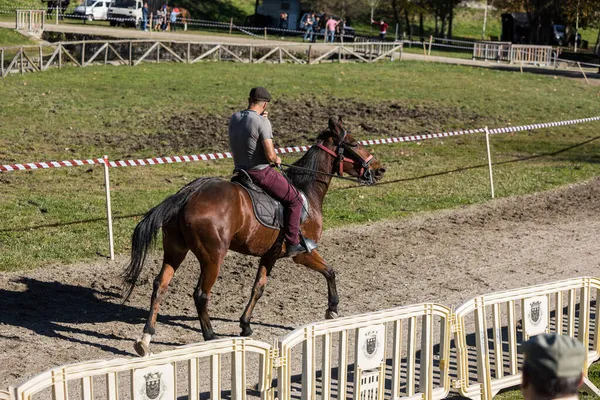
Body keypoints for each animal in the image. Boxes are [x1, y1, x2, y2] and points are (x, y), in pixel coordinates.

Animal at [124, 116, 386, 356]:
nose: (379, 169)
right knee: (200, 294)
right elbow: (330, 271)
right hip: (212, 258)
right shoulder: (303, 252)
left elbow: (257, 288)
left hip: (175, 250)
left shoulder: (270, 255)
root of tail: (189, 193)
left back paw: (145, 338)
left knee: (160, 285)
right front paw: (332, 308)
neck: (306, 192)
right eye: (354, 143)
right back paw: (210, 336)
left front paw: (246, 325)